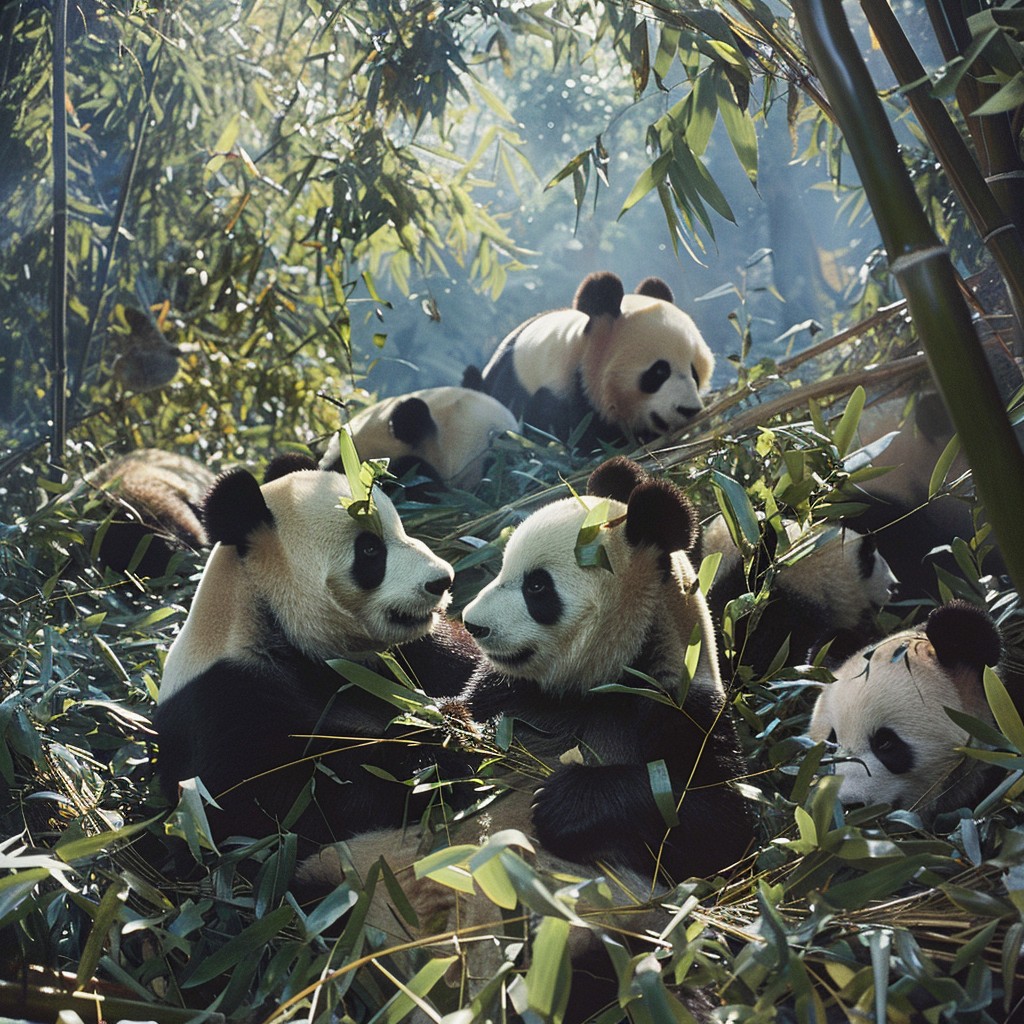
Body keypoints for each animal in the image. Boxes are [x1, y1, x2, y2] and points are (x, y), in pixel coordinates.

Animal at [153, 454, 480, 850]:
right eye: (370, 550)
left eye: (401, 529)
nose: (442, 580)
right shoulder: (222, 704)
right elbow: (272, 807)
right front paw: (434, 747)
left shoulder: (408, 650)